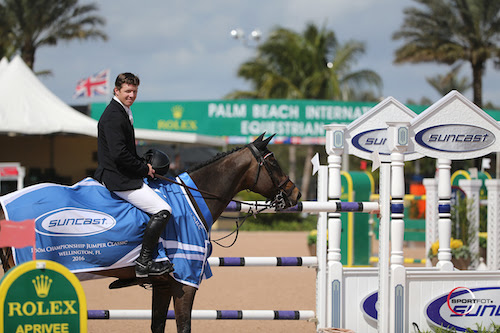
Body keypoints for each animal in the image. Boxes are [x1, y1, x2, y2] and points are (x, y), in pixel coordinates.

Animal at [0, 134, 300, 332]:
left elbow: (157, 326)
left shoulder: (163, 284)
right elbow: (183, 327)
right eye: (273, 164)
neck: (191, 200)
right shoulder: (184, 283)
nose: (295, 194)